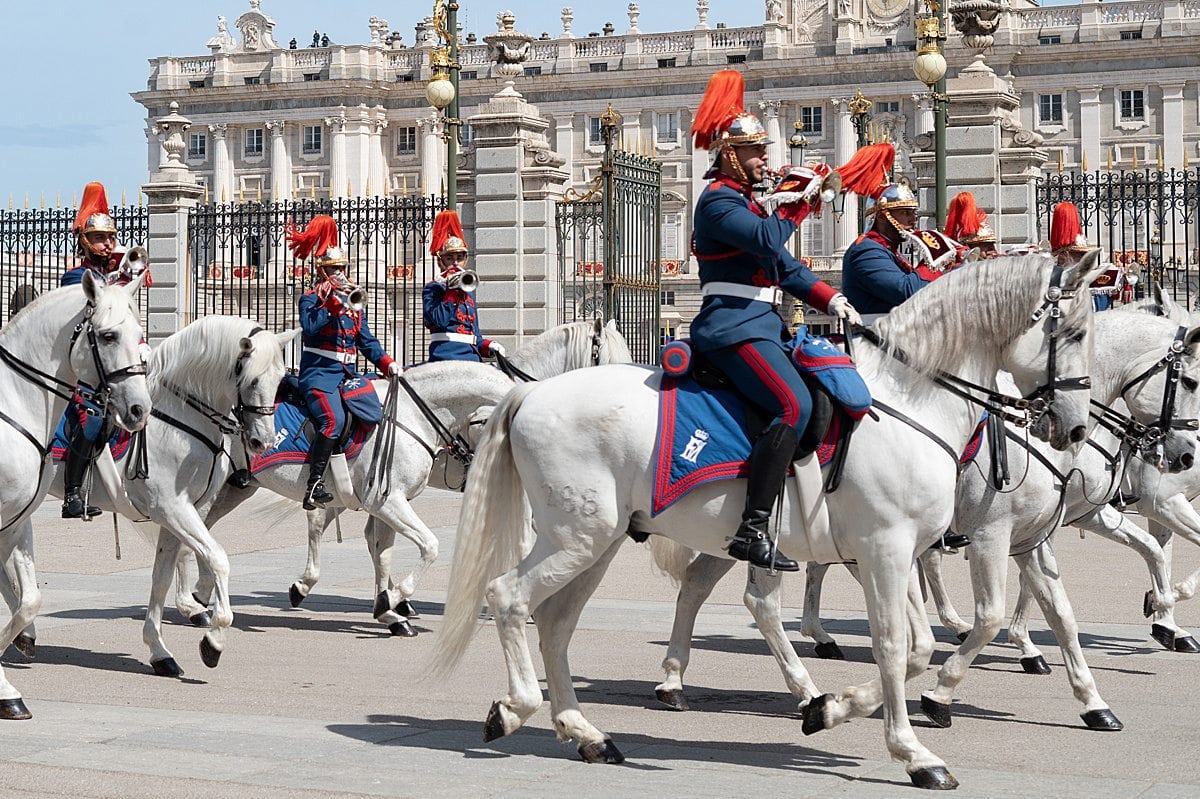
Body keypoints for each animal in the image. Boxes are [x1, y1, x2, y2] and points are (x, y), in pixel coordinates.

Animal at [0, 273, 152, 715]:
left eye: (140, 333)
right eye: (108, 335)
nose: (140, 410)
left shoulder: (15, 524)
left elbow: (29, 600)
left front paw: (6, 689)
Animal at [172, 316, 633, 633]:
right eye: (611, 359)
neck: (415, 412)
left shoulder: (388, 501)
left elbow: (386, 549)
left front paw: (391, 607)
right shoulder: (388, 499)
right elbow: (431, 546)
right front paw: (394, 600)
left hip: (238, 488)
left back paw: (206, 596)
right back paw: (214, 601)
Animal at [434, 253, 1104, 782]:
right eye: (1071, 331)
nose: (1074, 429)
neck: (912, 403)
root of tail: (532, 392)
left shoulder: (905, 550)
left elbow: (919, 647)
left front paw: (831, 708)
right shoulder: (893, 547)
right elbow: (896, 645)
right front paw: (913, 752)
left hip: (598, 543)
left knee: (558, 623)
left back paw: (587, 731)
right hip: (578, 537)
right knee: (509, 596)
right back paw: (518, 708)